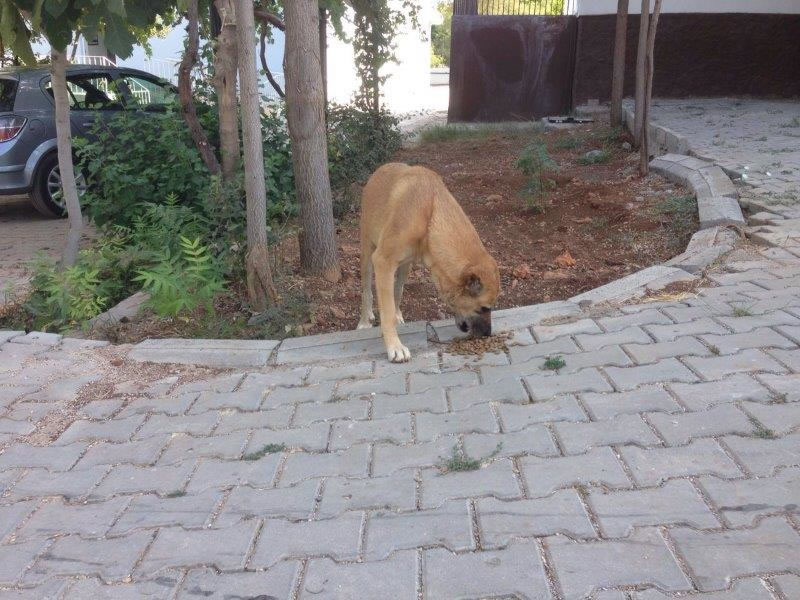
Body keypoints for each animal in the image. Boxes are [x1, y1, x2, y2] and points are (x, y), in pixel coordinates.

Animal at [358, 161, 496, 360]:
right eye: (484, 308)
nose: (488, 334)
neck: (430, 213)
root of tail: (382, 168)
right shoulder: (383, 261)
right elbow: (386, 311)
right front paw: (394, 346)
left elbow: (394, 298)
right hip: (367, 251)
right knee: (366, 290)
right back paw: (364, 319)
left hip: (405, 266)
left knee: (397, 290)